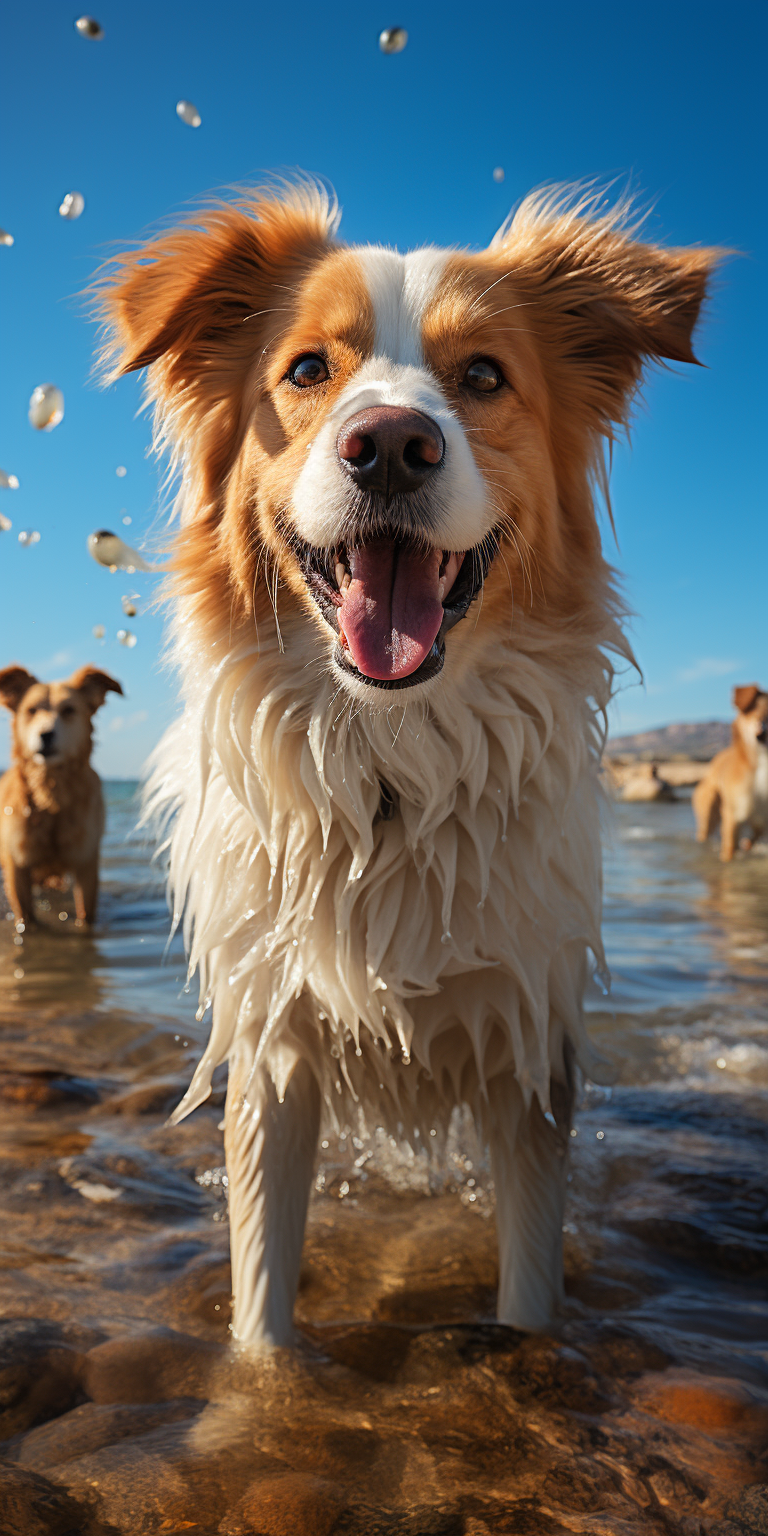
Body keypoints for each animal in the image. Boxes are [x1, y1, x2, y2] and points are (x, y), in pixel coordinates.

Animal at [0, 660, 122, 921]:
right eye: (31, 710)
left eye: (68, 710)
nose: (45, 734)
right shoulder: (18, 867)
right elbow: (26, 918)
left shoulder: (86, 864)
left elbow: (85, 916)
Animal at [96, 182, 718, 1345]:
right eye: (306, 370)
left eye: (484, 377)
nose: (389, 444)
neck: (393, 766)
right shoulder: (275, 1044)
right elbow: (262, 1304)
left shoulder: (531, 1046)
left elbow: (528, 1285)